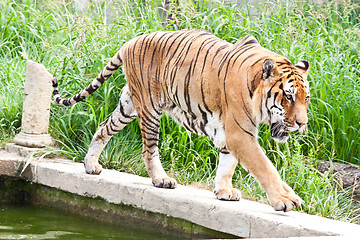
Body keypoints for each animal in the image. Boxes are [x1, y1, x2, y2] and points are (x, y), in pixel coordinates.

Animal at [52, 29, 310, 212]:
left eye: (305, 98)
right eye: (288, 97)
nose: (302, 123)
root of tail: (130, 42)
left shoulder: (230, 134)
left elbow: (227, 164)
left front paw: (224, 190)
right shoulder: (240, 133)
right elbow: (266, 168)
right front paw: (283, 199)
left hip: (128, 106)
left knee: (104, 127)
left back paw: (90, 164)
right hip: (149, 109)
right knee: (149, 150)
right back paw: (161, 179)